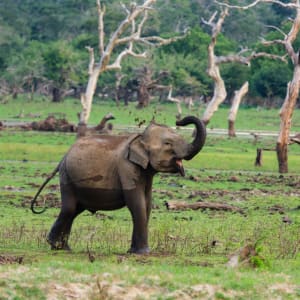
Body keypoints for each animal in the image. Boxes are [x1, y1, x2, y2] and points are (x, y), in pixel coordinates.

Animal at [31, 115, 206, 253]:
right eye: (168, 143)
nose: (179, 120)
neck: (139, 138)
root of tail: (63, 157)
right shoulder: (127, 168)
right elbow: (137, 204)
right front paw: (142, 253)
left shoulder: (145, 173)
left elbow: (147, 204)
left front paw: (133, 251)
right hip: (67, 177)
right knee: (69, 209)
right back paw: (56, 246)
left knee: (74, 210)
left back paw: (62, 247)